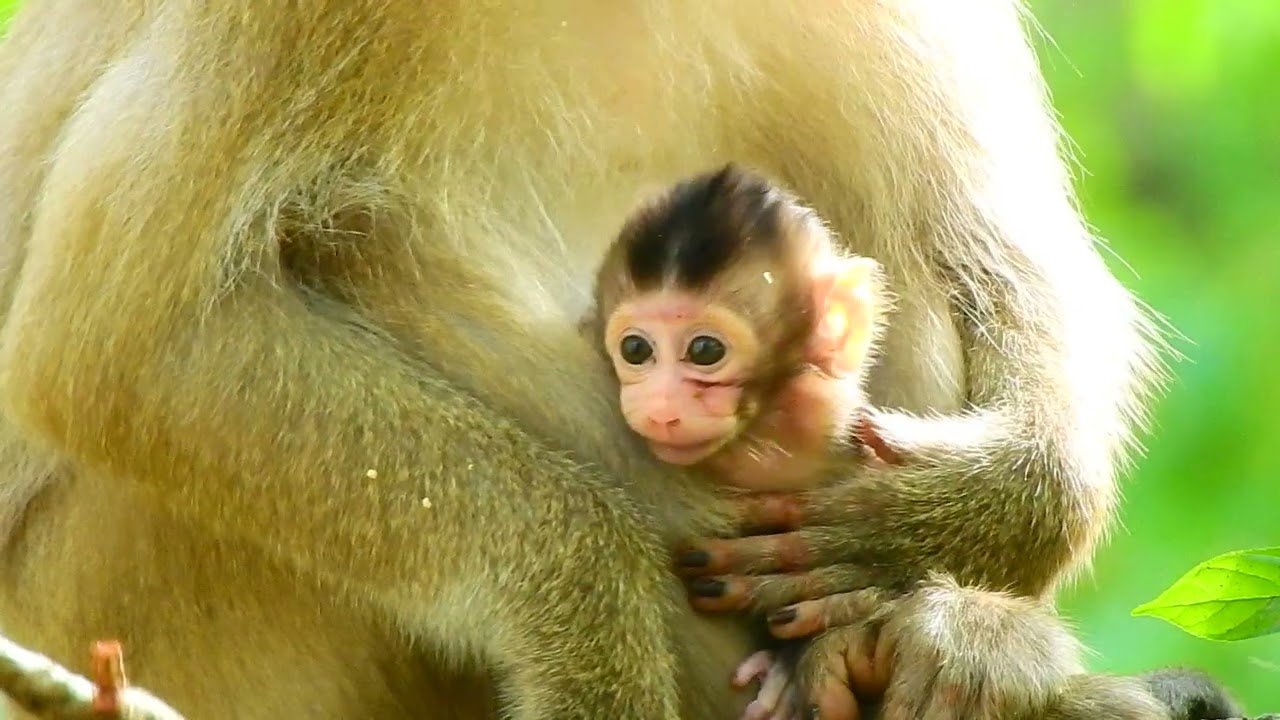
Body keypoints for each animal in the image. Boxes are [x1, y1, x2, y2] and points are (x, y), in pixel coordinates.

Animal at [0, 1, 1247, 720]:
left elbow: (981, 239)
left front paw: (935, 537)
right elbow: (121, 345)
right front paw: (591, 617)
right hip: (137, 609)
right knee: (358, 242)